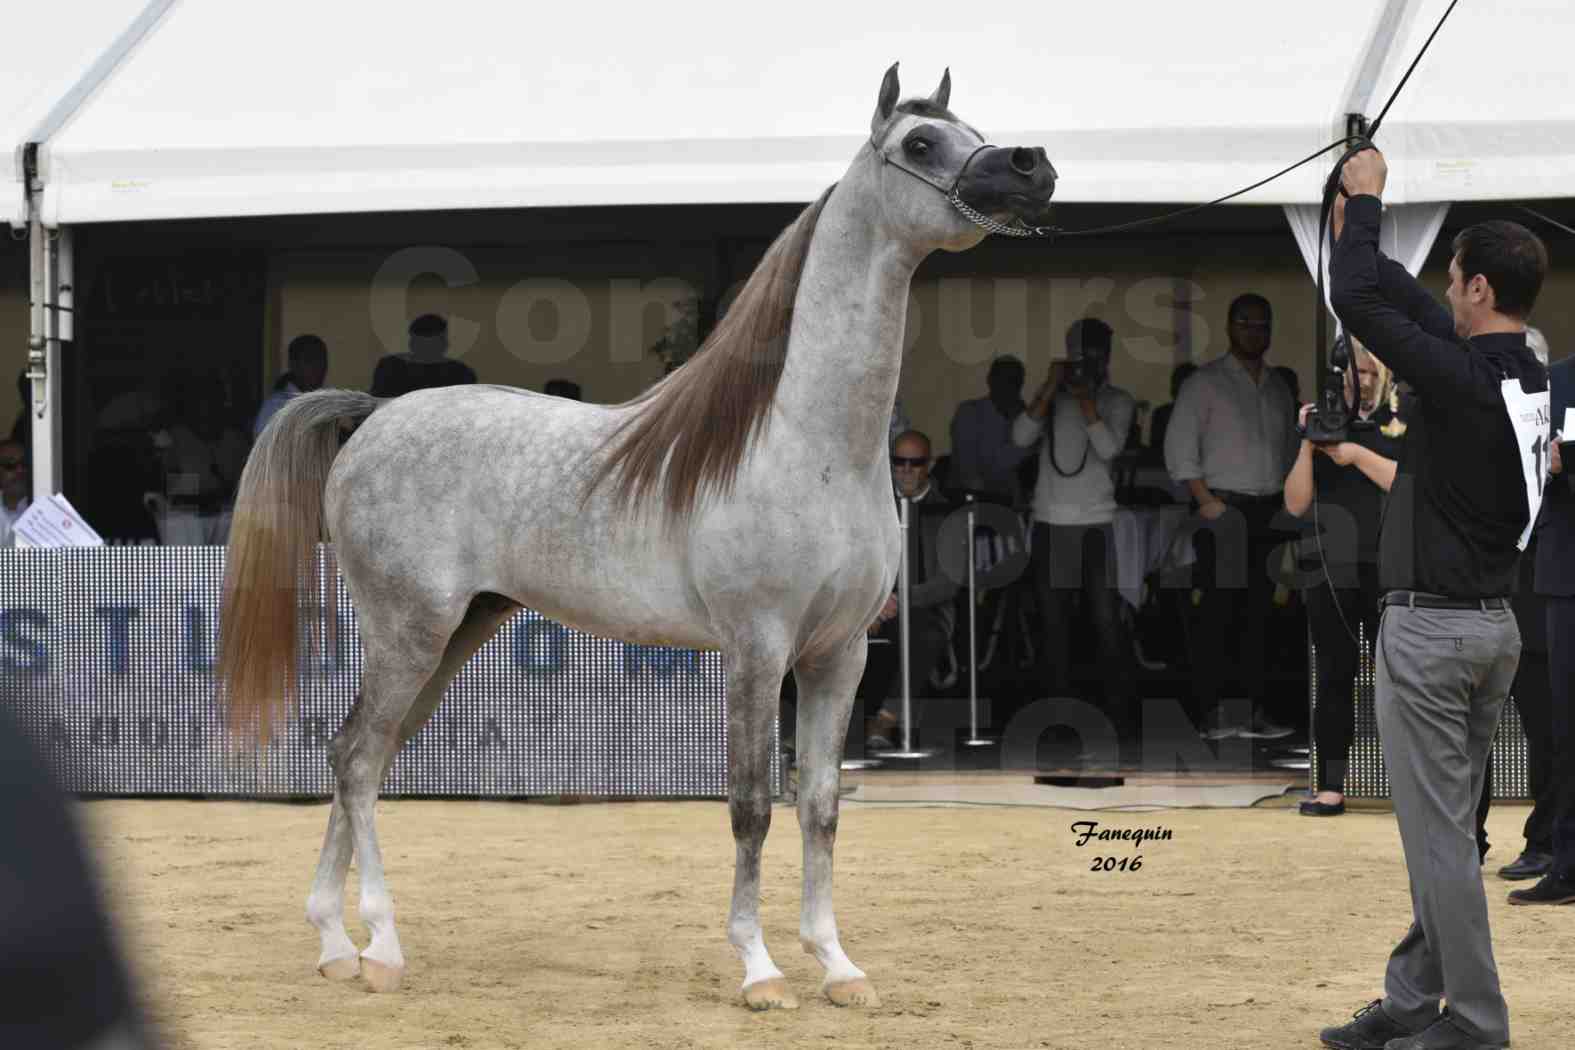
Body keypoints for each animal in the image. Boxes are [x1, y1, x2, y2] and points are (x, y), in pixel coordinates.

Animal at [215, 63, 1058, 1007]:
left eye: (973, 129)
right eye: (919, 142)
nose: (1031, 166)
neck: (804, 442)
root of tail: (373, 416)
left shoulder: (839, 654)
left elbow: (819, 805)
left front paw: (837, 964)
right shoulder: (757, 650)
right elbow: (750, 804)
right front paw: (760, 969)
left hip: (455, 634)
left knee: (363, 754)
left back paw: (335, 942)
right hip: (409, 632)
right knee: (358, 759)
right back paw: (383, 947)